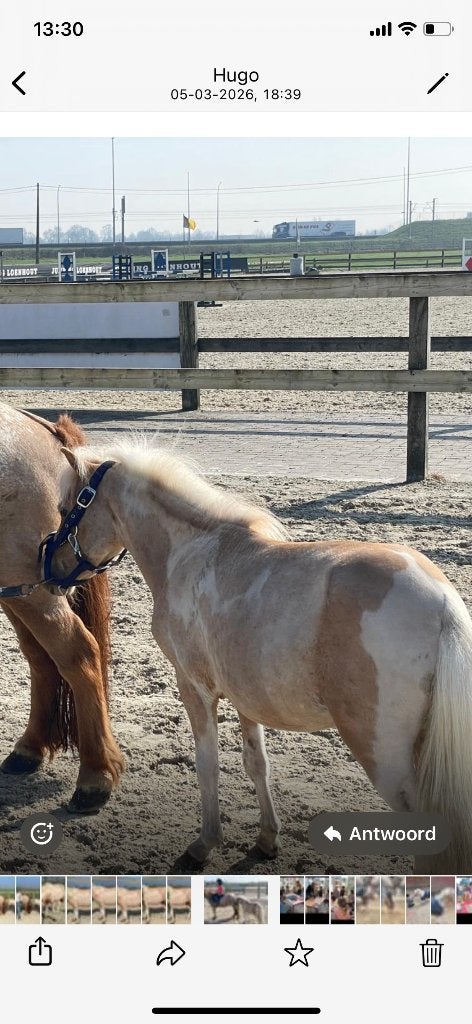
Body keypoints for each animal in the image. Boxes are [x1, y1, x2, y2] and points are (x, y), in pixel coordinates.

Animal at [0, 403, 124, 812]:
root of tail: (47, 430)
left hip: (33, 592)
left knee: (78, 654)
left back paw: (95, 777)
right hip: (19, 592)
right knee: (42, 658)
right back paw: (29, 749)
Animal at [53, 438, 472, 873]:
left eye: (66, 510)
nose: (50, 569)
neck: (190, 552)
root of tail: (442, 603)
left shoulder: (195, 688)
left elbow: (208, 765)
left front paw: (204, 845)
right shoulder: (245, 698)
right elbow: (256, 764)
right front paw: (267, 840)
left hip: (383, 754)